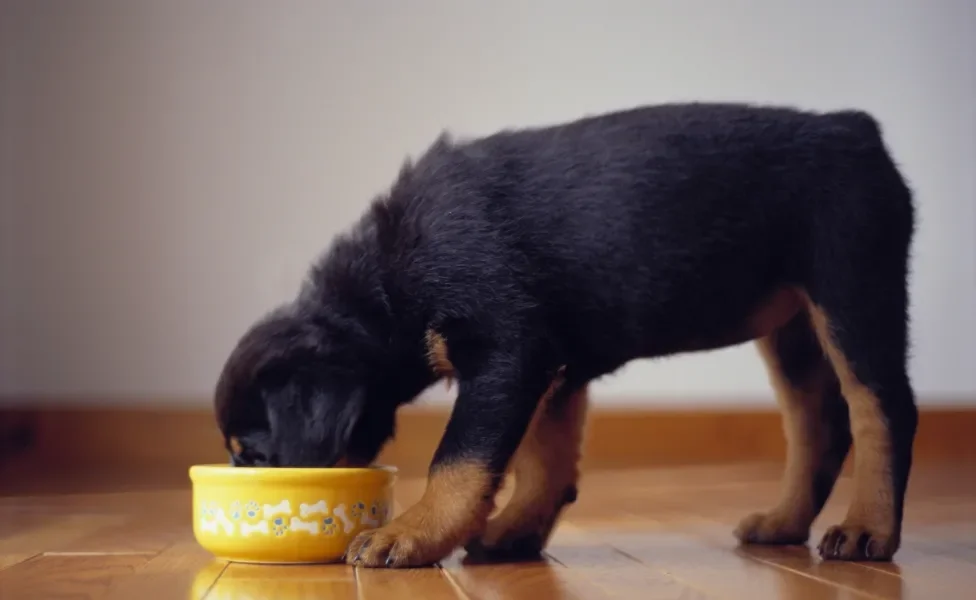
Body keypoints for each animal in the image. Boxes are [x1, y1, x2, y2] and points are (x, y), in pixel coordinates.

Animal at [212, 102, 916, 568]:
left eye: (254, 455)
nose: (245, 475)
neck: (387, 282)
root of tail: (856, 126)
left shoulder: (506, 352)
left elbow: (459, 460)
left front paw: (412, 532)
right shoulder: (554, 368)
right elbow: (544, 460)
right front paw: (515, 534)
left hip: (853, 287)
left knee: (882, 409)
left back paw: (866, 529)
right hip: (792, 325)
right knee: (818, 422)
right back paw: (785, 523)